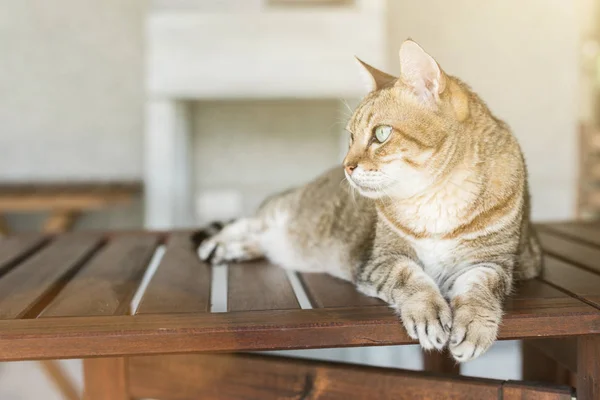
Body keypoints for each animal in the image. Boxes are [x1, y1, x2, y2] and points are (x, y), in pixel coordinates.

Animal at [198, 40, 544, 362]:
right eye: (351, 136)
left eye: (381, 134)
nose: (346, 166)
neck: (436, 197)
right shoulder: (382, 259)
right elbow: (411, 278)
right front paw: (428, 314)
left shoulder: (492, 263)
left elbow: (480, 289)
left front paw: (474, 326)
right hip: (285, 210)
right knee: (250, 221)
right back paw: (217, 244)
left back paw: (236, 249)